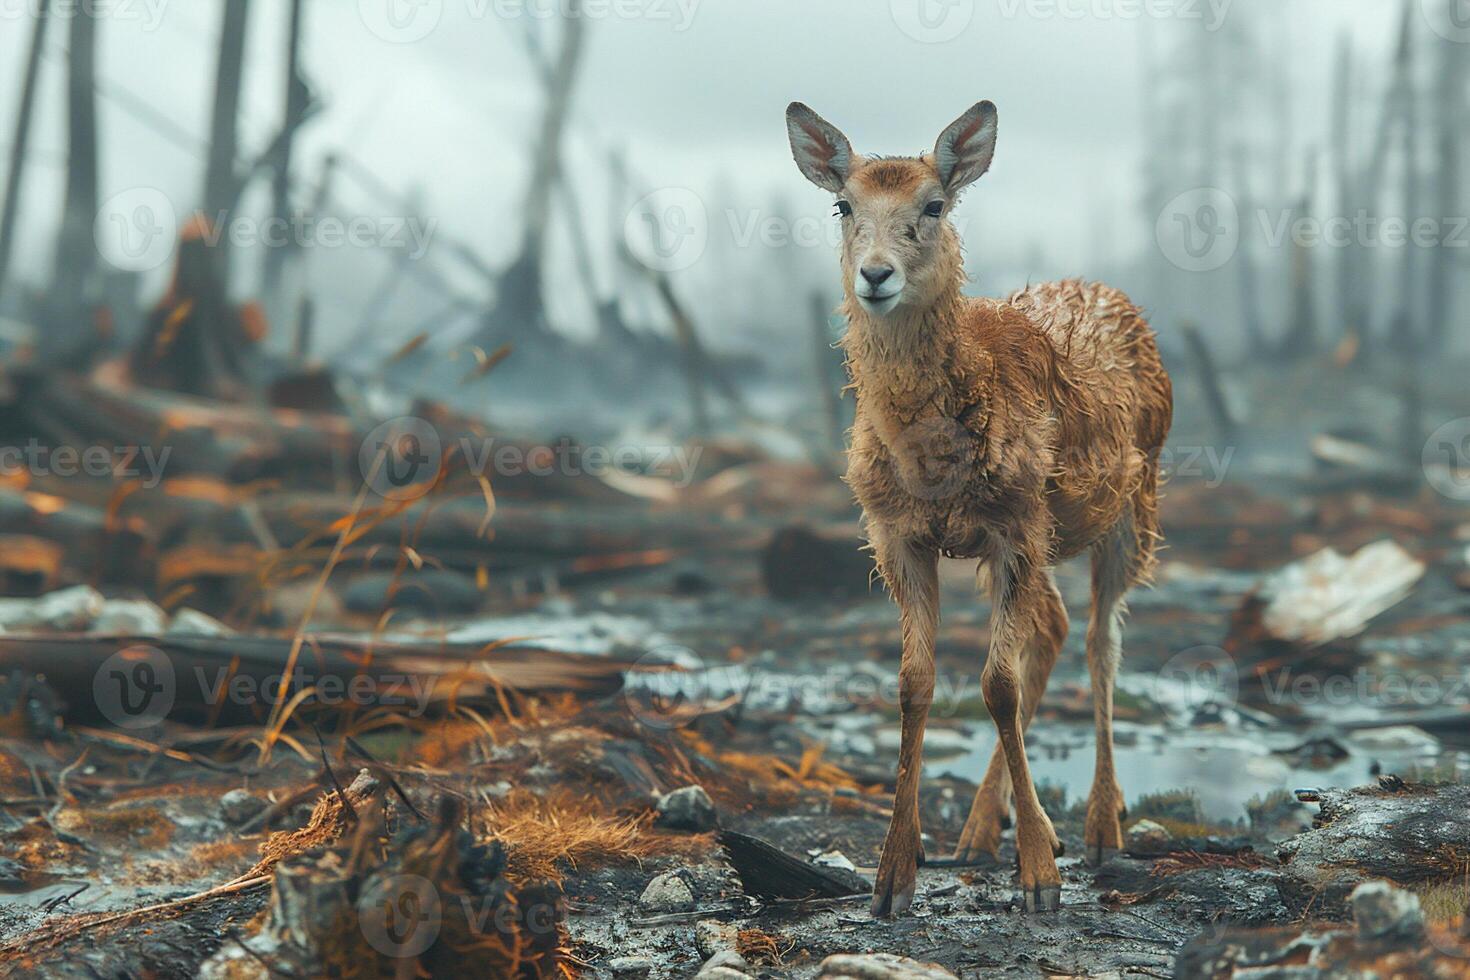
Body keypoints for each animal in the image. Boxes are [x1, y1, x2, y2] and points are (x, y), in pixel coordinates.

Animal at [787, 99, 1176, 910]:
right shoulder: (897, 532)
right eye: (843, 206)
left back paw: (1100, 825)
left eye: (934, 205)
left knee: (1102, 641)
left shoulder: (1014, 527)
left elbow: (997, 684)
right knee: (1054, 625)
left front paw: (1040, 880)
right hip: (1049, 531)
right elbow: (914, 685)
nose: (876, 274)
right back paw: (978, 831)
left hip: (1131, 506)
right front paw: (892, 876)